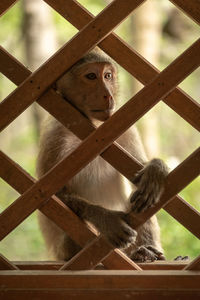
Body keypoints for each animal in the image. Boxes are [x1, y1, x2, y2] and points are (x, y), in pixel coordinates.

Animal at [36, 47, 168, 262]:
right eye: (91, 76)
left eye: (107, 76)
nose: (107, 95)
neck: (94, 125)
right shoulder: (55, 136)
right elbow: (48, 195)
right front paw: (106, 219)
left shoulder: (125, 129)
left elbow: (138, 175)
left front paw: (155, 169)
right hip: (64, 251)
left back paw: (145, 252)